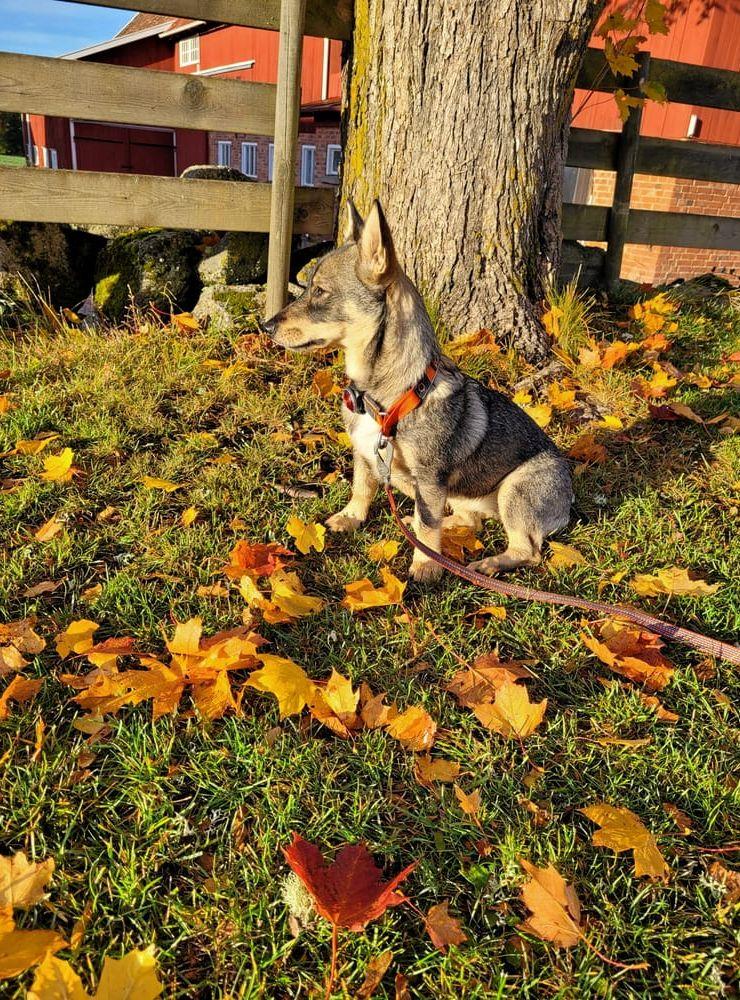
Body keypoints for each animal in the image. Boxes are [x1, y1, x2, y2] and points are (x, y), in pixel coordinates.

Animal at [264, 199, 576, 584]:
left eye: (320, 291)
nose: (266, 326)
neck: (385, 397)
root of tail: (569, 498)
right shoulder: (366, 455)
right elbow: (362, 488)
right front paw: (351, 518)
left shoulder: (429, 479)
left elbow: (427, 526)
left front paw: (425, 565)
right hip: (463, 496)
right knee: (469, 520)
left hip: (515, 492)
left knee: (527, 550)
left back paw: (488, 563)